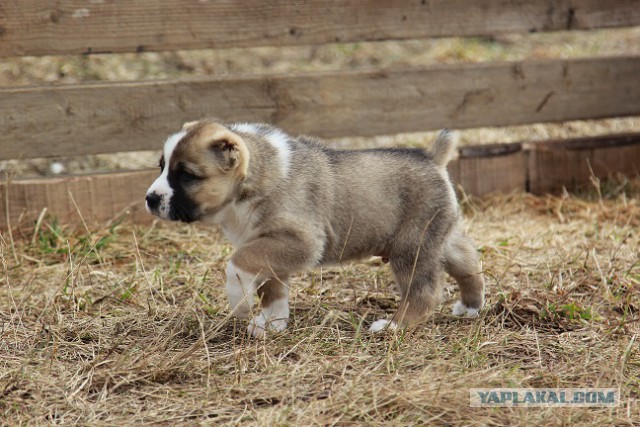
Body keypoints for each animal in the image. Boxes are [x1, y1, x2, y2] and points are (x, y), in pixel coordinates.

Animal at [146, 119, 484, 338]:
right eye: (161, 166)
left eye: (187, 175)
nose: (150, 199)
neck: (256, 176)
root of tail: (433, 157)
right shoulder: (270, 245)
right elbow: (273, 287)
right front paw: (272, 322)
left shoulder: (299, 242)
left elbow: (237, 263)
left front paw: (239, 301)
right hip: (437, 238)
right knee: (467, 259)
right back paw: (471, 306)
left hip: (411, 247)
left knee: (423, 291)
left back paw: (395, 326)